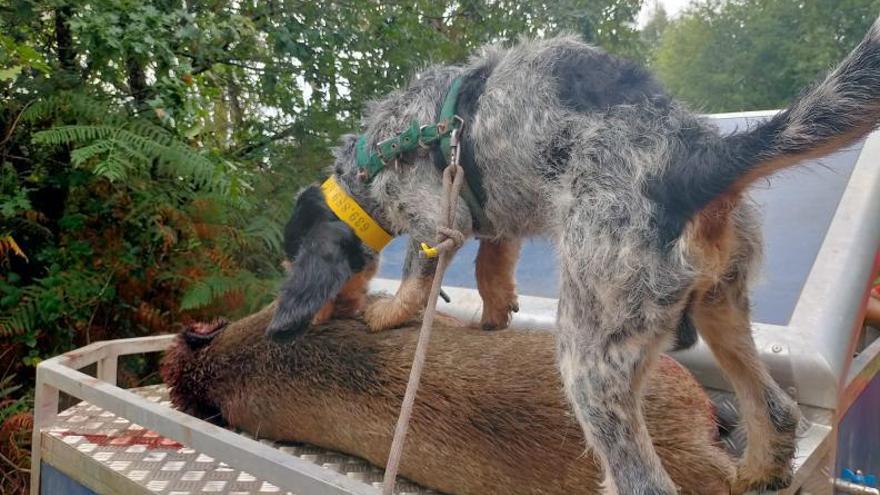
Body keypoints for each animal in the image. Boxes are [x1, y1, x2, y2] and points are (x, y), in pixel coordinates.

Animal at [264, 16, 880, 495]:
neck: (374, 158)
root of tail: (693, 158)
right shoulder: (496, 217)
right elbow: (493, 264)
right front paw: (494, 314)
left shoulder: (439, 219)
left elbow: (420, 272)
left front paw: (389, 312)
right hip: (721, 305)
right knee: (776, 410)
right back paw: (757, 472)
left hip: (589, 360)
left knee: (644, 480)